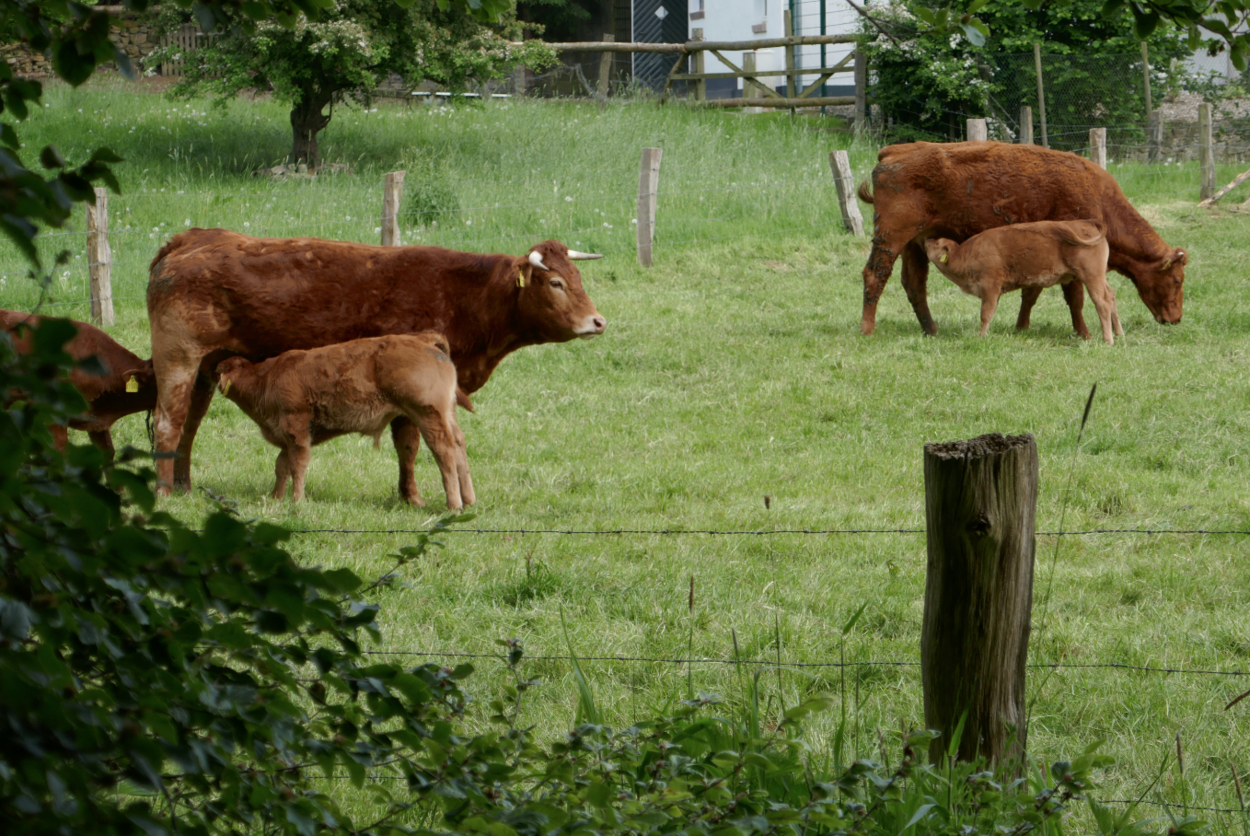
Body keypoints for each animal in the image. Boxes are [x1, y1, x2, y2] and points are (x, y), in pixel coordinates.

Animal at [215, 332, 472, 509]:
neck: (266, 379)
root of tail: (422, 339)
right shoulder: (286, 435)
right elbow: (282, 466)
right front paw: (276, 497)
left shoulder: (296, 428)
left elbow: (298, 464)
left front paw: (297, 500)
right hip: (445, 414)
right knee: (459, 442)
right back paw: (469, 500)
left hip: (427, 414)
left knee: (444, 449)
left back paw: (454, 505)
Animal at [925, 219, 1130, 344]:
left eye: (937, 243)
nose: (927, 239)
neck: (966, 254)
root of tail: (1088, 223)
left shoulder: (990, 287)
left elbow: (986, 313)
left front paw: (981, 336)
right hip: (1098, 277)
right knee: (1111, 295)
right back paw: (1119, 333)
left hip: (1091, 277)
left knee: (1102, 301)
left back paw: (1108, 340)